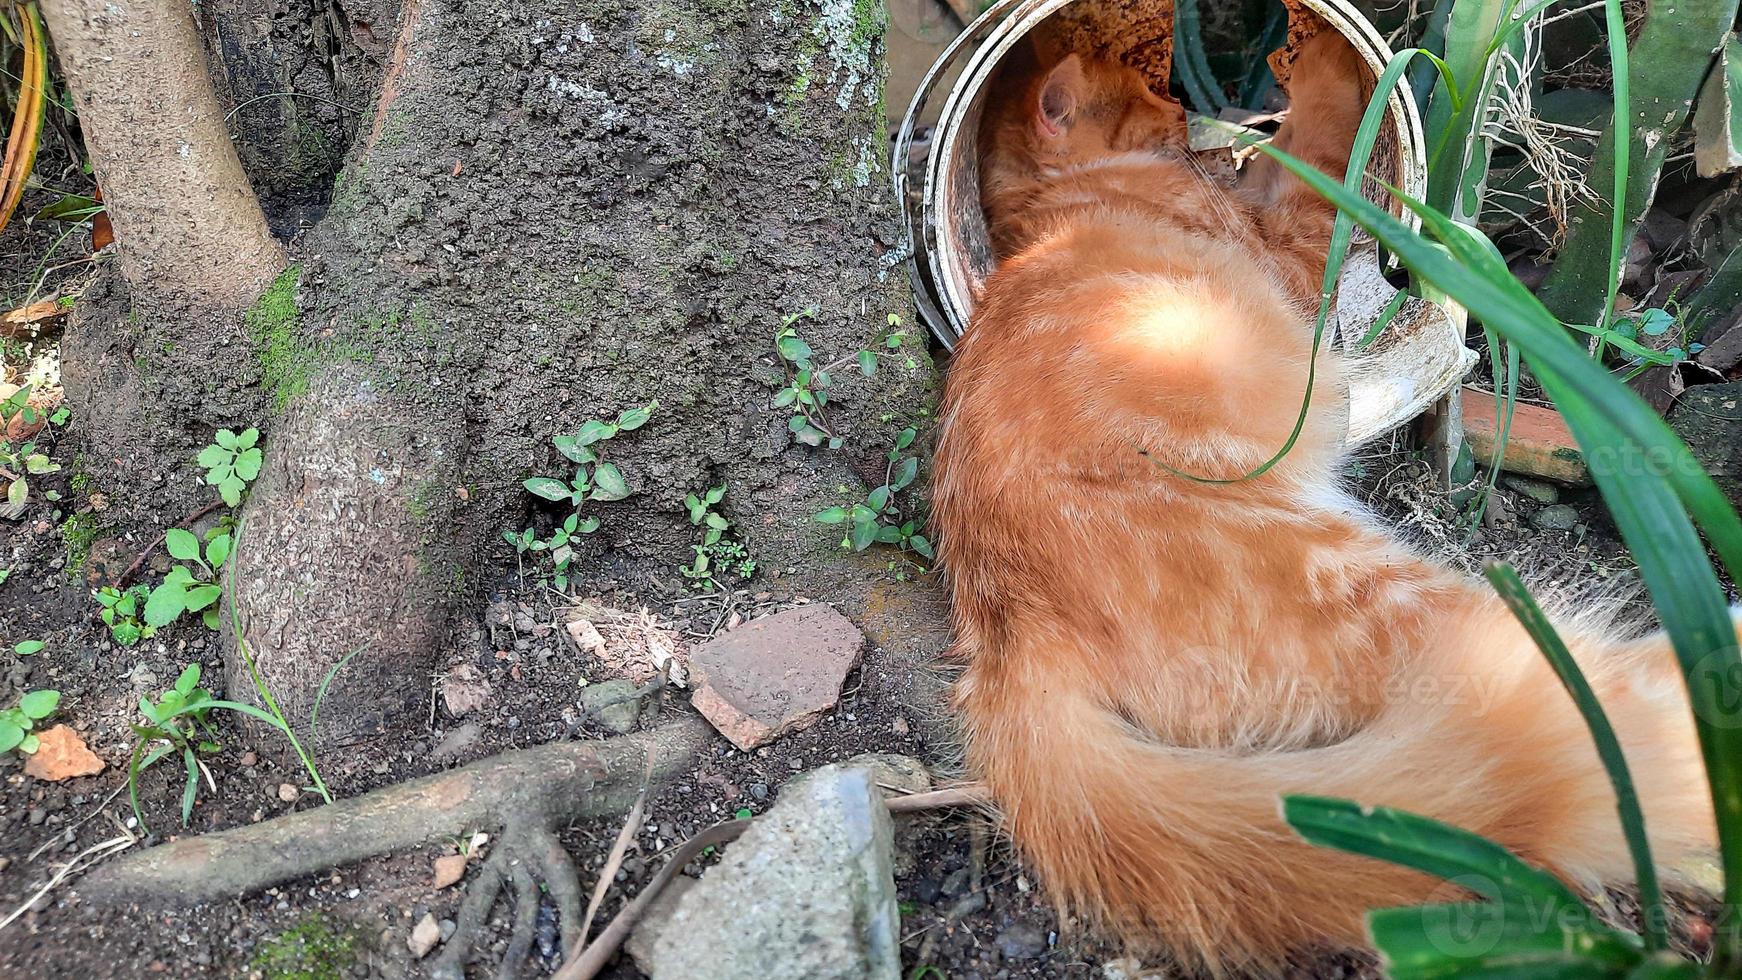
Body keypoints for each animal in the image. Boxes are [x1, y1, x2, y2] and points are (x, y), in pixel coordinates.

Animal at [940, 28, 1714, 974]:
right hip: (1395, 597)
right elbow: (1315, 159)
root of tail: (1009, 643)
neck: (1053, 208)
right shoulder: (1294, 255)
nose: (1187, 118)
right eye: (1142, 97)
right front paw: (1328, 76)